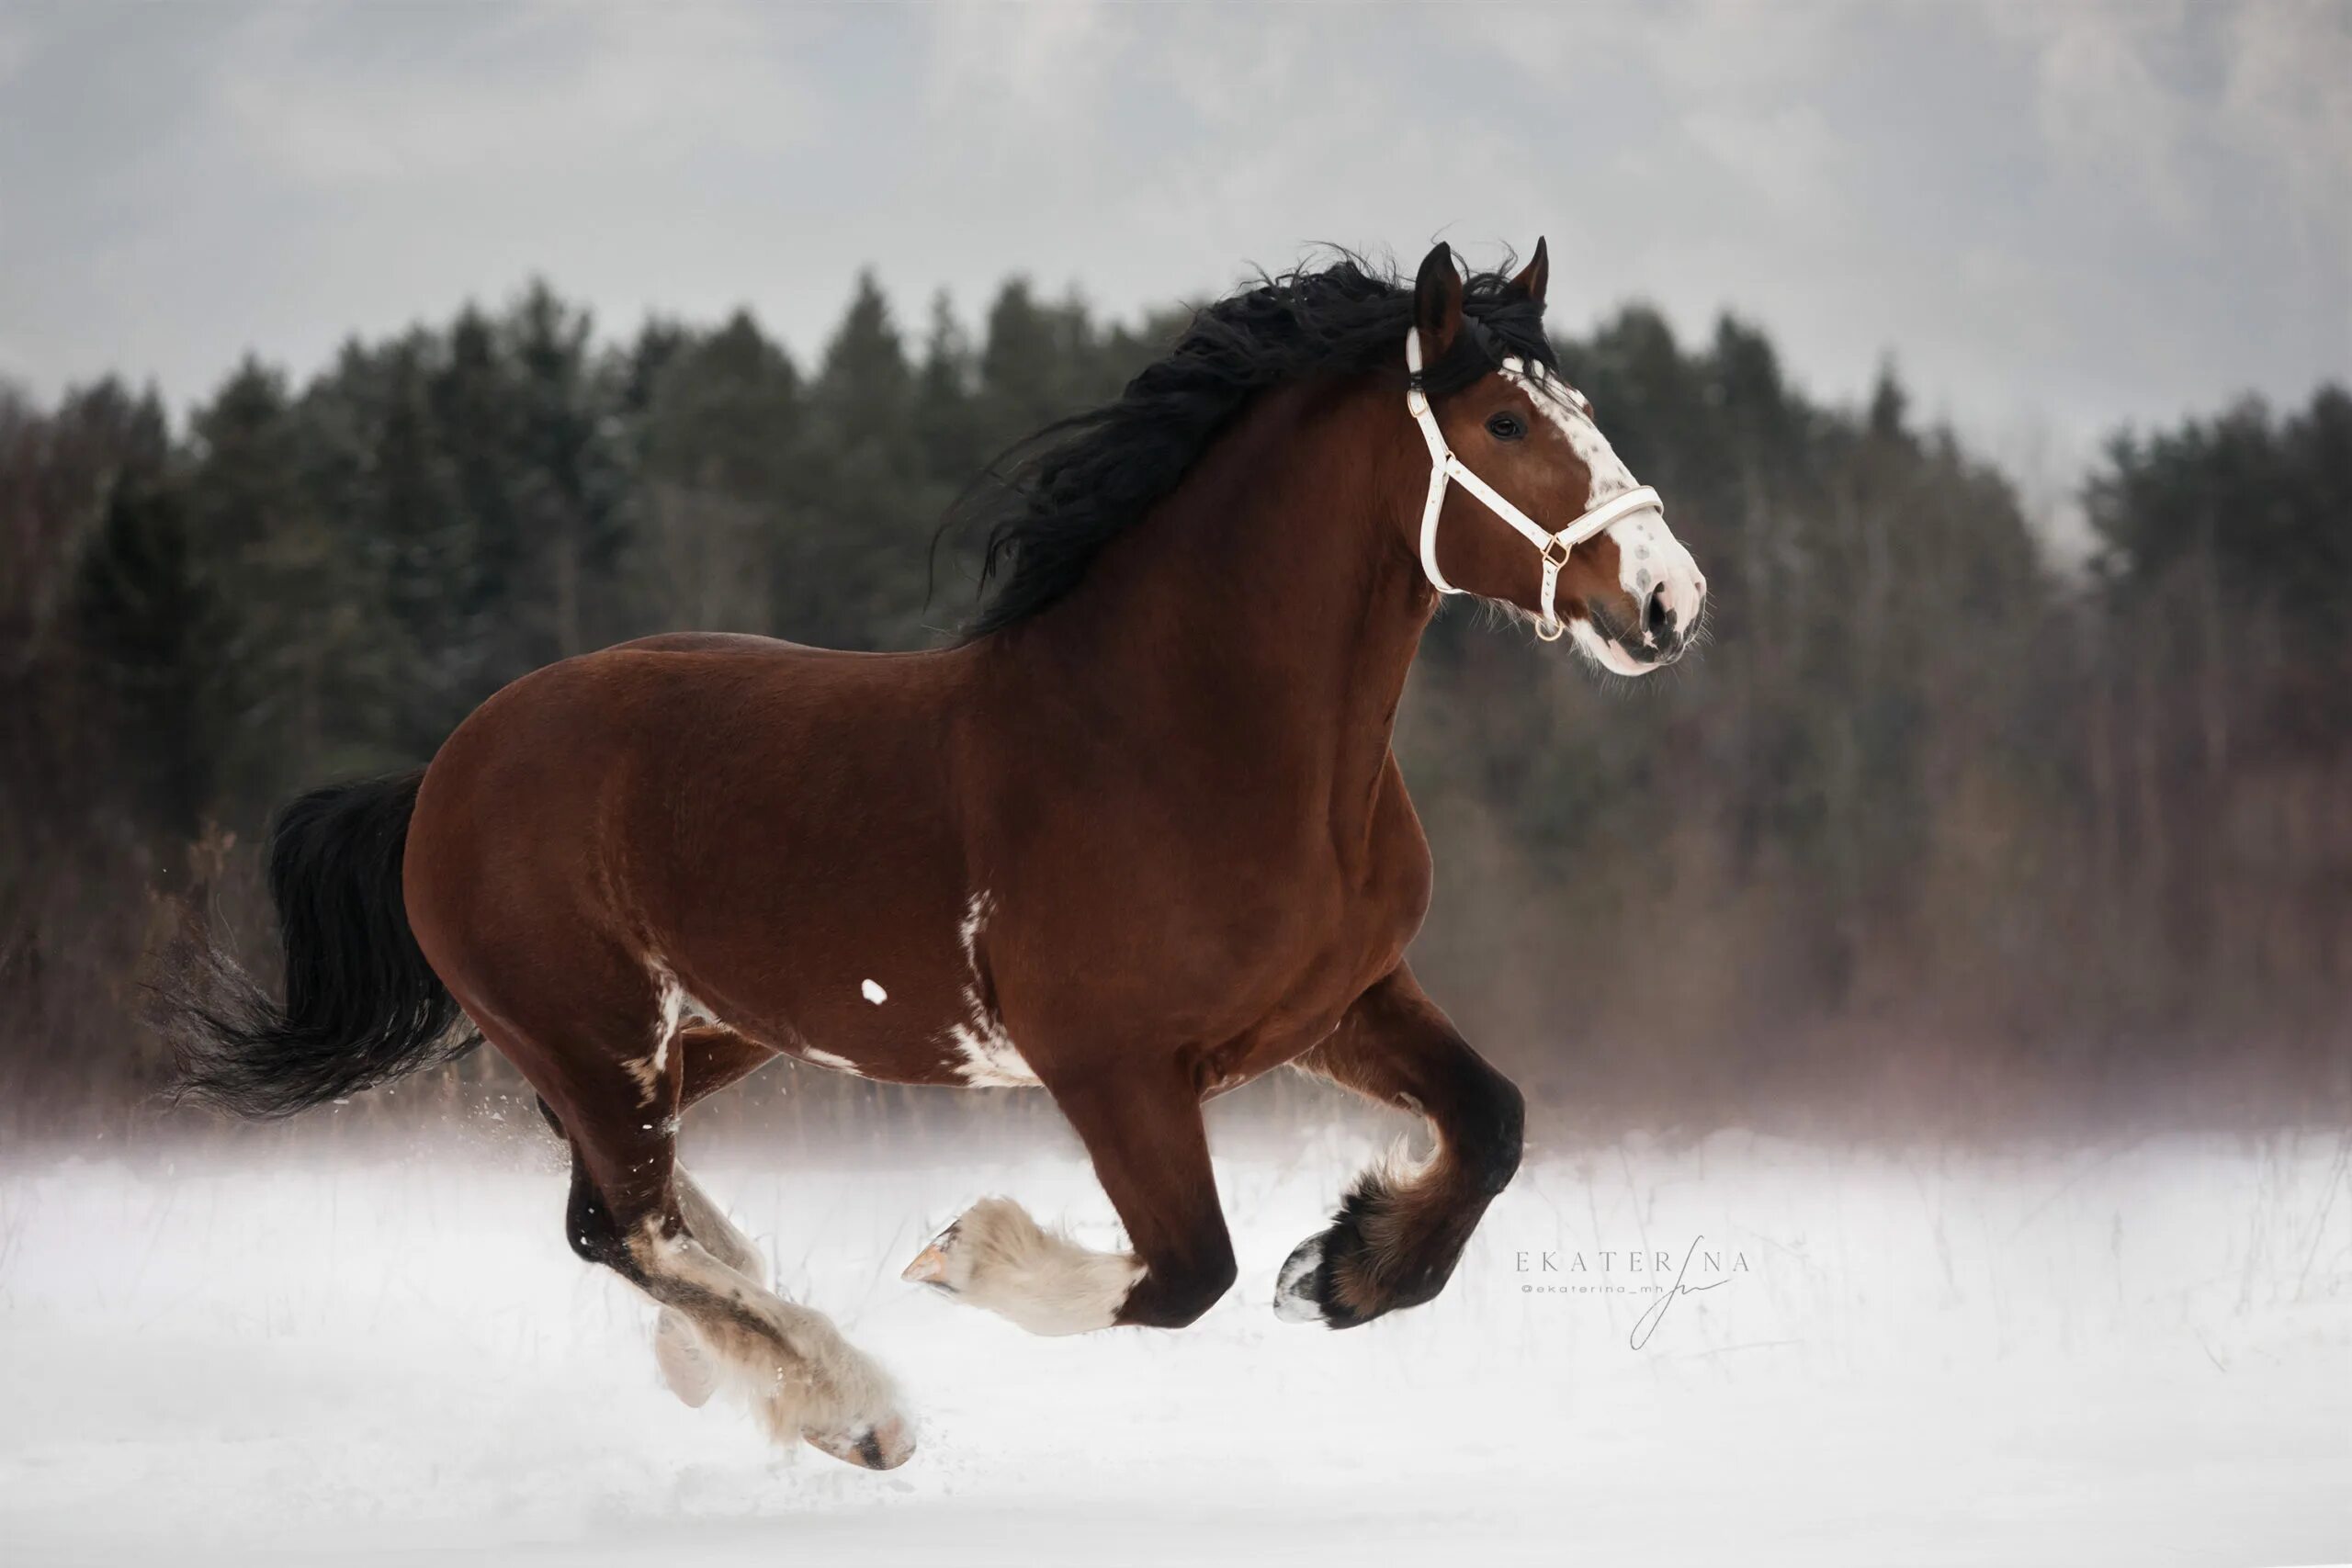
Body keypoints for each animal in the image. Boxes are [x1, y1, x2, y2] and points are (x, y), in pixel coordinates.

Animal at [170, 242, 1712, 1476]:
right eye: (1505, 419)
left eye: (1584, 409)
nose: (1668, 600)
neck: (1191, 734)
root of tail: (444, 770)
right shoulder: (1111, 1065)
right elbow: (1185, 1270)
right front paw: (967, 1251)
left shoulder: (1333, 1003)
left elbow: (1492, 1121)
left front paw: (1343, 1265)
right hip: (592, 1037)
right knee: (626, 1226)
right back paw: (852, 1407)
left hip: (702, 1035)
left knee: (615, 1210)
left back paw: (748, 1366)